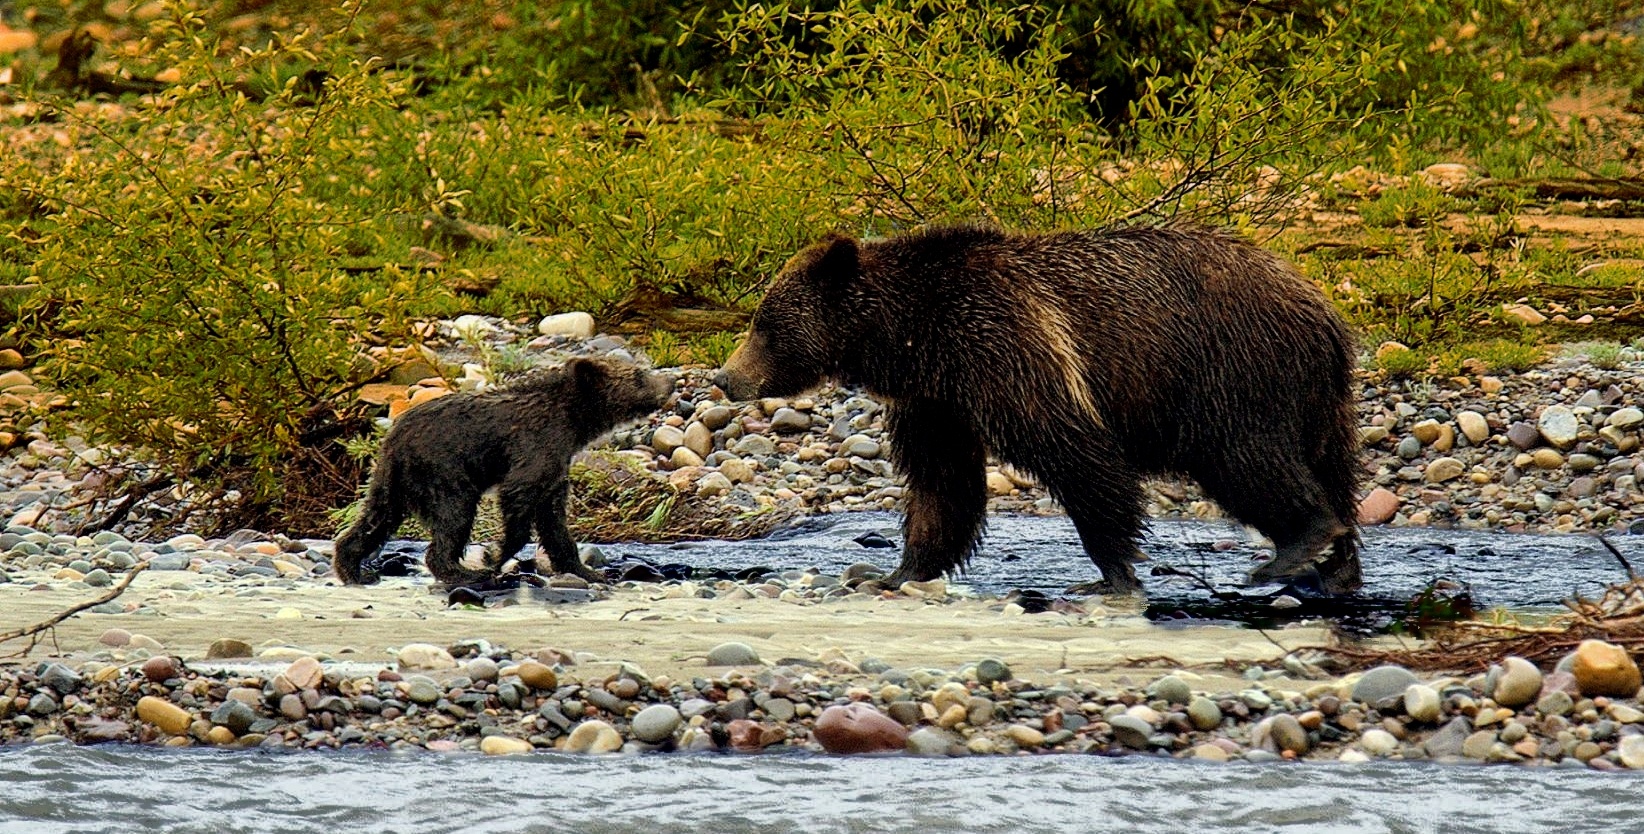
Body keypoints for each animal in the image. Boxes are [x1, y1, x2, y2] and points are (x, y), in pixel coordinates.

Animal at [333, 356, 673, 587]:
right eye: (639, 375)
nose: (670, 384)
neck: (574, 422)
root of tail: (394, 435)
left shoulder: (558, 462)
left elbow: (554, 519)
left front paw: (589, 570)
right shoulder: (535, 443)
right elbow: (520, 495)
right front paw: (494, 556)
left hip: (391, 478)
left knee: (376, 517)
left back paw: (353, 568)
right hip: (442, 470)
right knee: (455, 515)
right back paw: (464, 572)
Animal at [714, 224, 1362, 595]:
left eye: (764, 324)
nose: (725, 378)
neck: (913, 337)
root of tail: (1324, 310)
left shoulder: (1005, 345)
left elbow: (1073, 452)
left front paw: (1112, 572)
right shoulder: (937, 402)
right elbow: (942, 486)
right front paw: (899, 570)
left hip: (1230, 369)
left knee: (1243, 457)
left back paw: (1296, 547)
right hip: (1317, 400)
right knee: (1331, 469)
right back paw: (1338, 566)